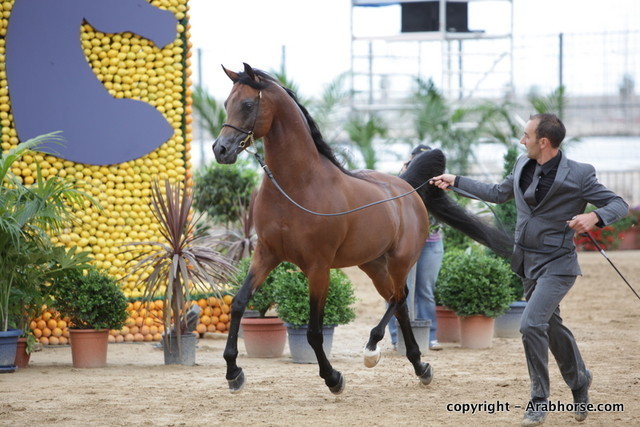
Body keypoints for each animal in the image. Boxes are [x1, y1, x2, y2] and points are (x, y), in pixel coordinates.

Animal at [213, 63, 513, 394]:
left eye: (247, 104)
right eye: (227, 103)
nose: (220, 150)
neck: (297, 185)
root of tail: (407, 187)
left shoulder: (318, 267)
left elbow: (314, 331)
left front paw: (333, 378)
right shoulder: (266, 255)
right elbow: (238, 304)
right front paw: (233, 373)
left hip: (399, 261)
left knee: (399, 297)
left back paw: (373, 349)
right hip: (373, 264)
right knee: (399, 303)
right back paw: (419, 366)